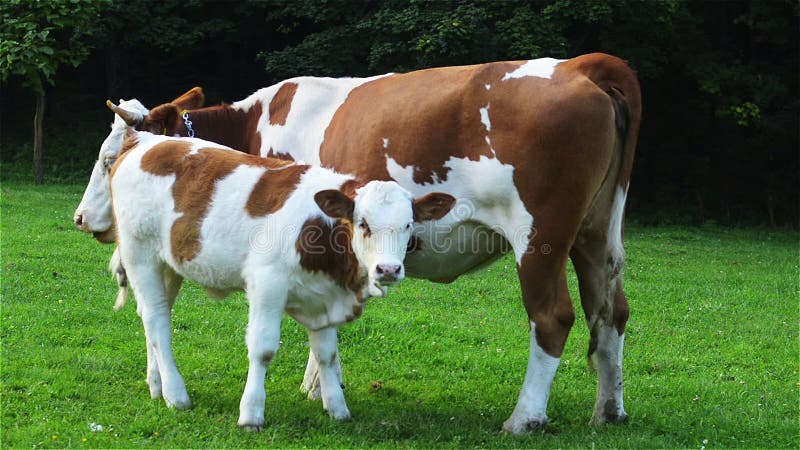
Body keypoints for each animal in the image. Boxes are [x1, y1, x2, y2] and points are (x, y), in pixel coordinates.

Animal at [79, 108, 456, 428]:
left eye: (408, 225)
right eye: (363, 224)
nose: (388, 270)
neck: (320, 230)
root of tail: (144, 142)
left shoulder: (325, 294)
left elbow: (326, 354)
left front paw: (337, 408)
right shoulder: (267, 284)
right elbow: (262, 349)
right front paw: (251, 413)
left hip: (166, 263)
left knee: (152, 314)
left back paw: (156, 385)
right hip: (139, 253)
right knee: (157, 321)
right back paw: (176, 394)